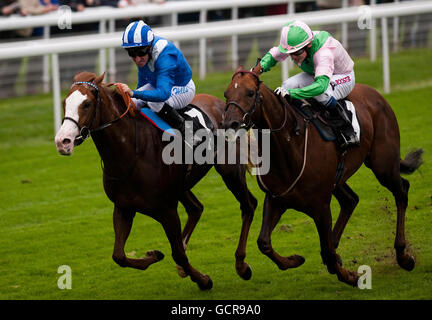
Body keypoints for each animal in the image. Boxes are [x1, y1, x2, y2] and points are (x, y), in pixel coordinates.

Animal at [53, 72, 256, 290]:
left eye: (87, 104)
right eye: (65, 103)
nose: (62, 141)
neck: (131, 152)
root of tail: (223, 105)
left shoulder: (167, 209)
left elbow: (178, 253)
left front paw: (203, 280)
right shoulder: (123, 207)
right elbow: (119, 256)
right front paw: (154, 254)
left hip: (230, 170)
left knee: (248, 205)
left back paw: (242, 265)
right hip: (182, 186)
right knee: (196, 208)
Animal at [221, 66, 424, 286]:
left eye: (250, 93)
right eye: (226, 94)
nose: (229, 123)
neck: (289, 145)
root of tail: (376, 94)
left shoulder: (320, 205)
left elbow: (326, 250)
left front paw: (350, 276)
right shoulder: (277, 199)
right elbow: (263, 242)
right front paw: (294, 260)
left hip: (383, 165)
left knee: (401, 191)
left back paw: (403, 256)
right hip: (339, 178)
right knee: (351, 200)